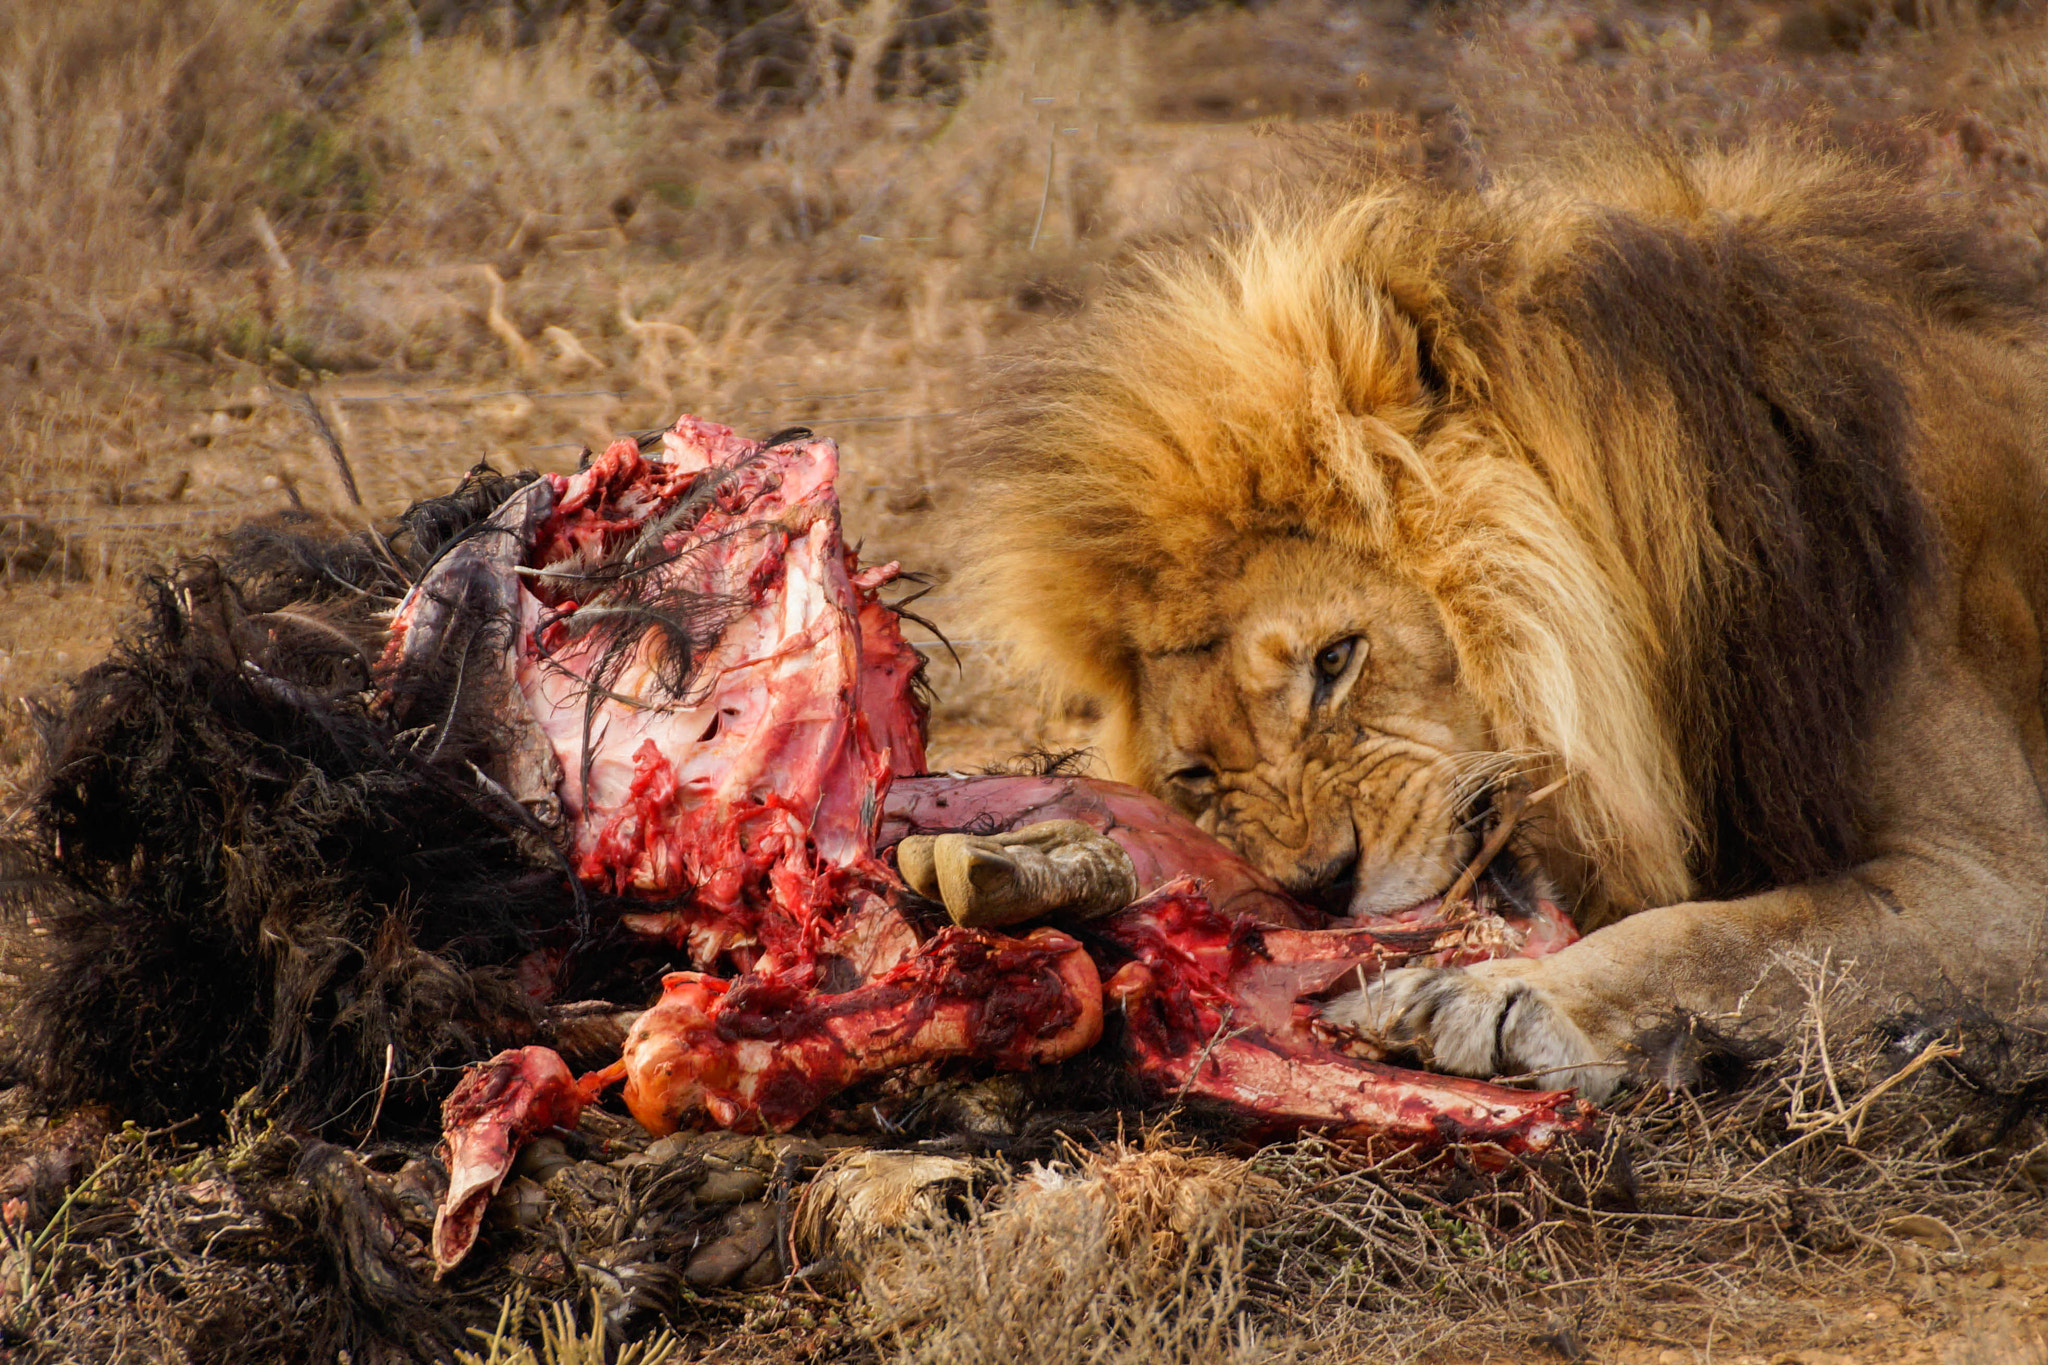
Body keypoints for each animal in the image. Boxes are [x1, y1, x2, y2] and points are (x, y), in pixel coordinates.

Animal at [956, 141, 2048, 1099]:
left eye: (1335, 661)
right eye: (1193, 777)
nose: (1323, 884)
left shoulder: (1995, 887)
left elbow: (1721, 932)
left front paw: (1493, 996)